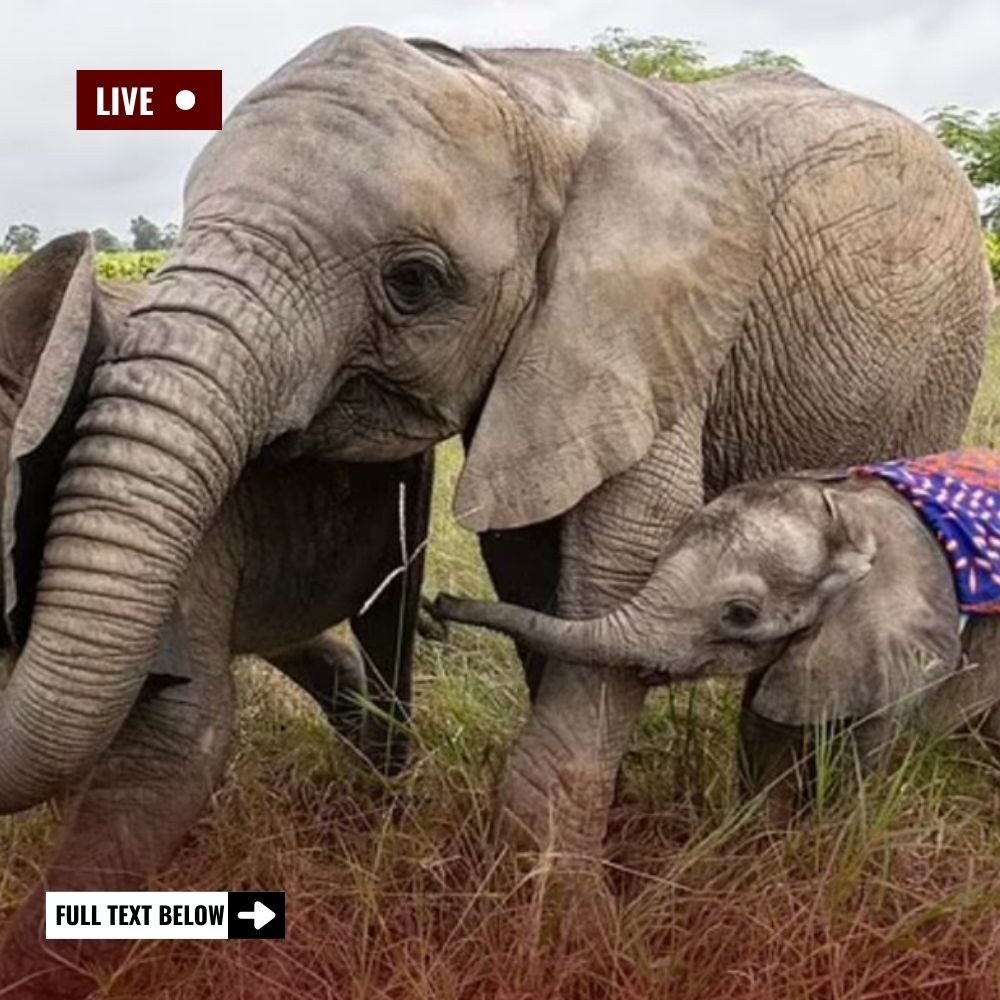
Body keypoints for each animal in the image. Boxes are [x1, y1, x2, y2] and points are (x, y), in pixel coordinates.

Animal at [440, 454, 1000, 812]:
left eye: (741, 613)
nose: (438, 604)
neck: (849, 513)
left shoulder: (896, 644)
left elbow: (857, 766)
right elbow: (763, 739)